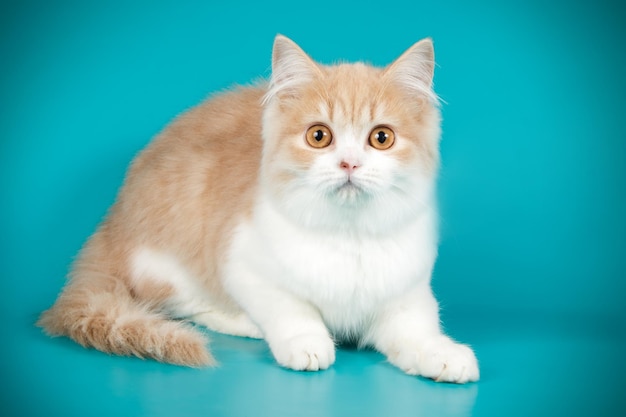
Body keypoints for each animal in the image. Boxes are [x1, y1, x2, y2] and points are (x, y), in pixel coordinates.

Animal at [37, 34, 478, 382]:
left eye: (381, 138)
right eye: (319, 136)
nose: (349, 164)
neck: (348, 234)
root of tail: (111, 222)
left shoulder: (406, 293)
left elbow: (416, 331)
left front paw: (441, 352)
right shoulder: (243, 263)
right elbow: (290, 307)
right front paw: (307, 341)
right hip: (170, 256)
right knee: (185, 302)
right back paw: (245, 324)